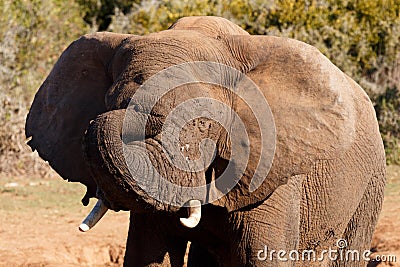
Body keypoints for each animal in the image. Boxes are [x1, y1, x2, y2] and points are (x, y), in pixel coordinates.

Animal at [25, 15, 384, 266]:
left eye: (201, 123)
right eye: (110, 101)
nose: (105, 120)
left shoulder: (272, 170)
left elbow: (262, 255)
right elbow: (147, 252)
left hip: (369, 186)